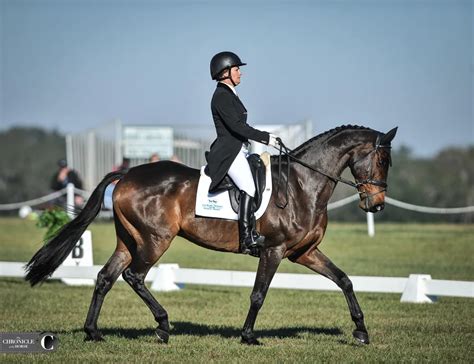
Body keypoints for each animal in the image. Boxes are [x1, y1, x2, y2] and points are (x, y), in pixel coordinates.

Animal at [25, 125, 396, 346]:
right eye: (382, 159)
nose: (376, 204)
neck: (302, 184)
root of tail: (127, 173)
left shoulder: (304, 252)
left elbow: (344, 280)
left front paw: (361, 332)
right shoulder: (274, 251)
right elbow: (258, 294)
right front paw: (248, 336)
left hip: (129, 241)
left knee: (105, 277)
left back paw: (94, 332)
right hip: (155, 240)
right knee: (134, 276)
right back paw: (162, 325)